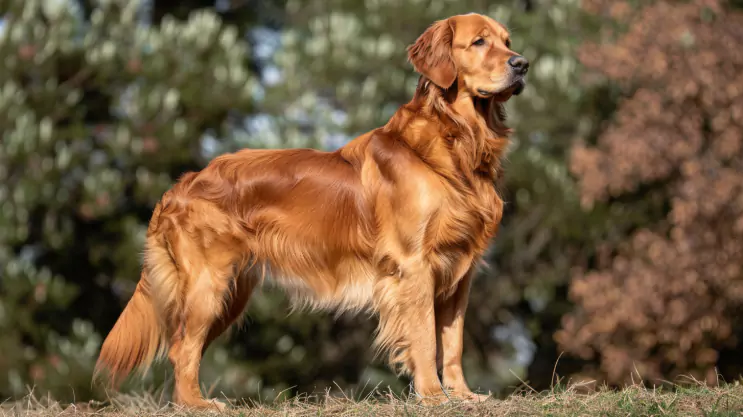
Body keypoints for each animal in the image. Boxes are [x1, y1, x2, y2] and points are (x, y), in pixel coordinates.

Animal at [94, 12, 528, 406]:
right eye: (479, 42)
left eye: (507, 41)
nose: (522, 64)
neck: (457, 143)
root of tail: (179, 186)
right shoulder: (414, 264)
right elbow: (424, 339)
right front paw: (434, 397)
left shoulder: (460, 271)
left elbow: (452, 343)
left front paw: (463, 395)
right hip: (208, 285)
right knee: (181, 347)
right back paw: (197, 405)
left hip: (231, 293)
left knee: (188, 347)